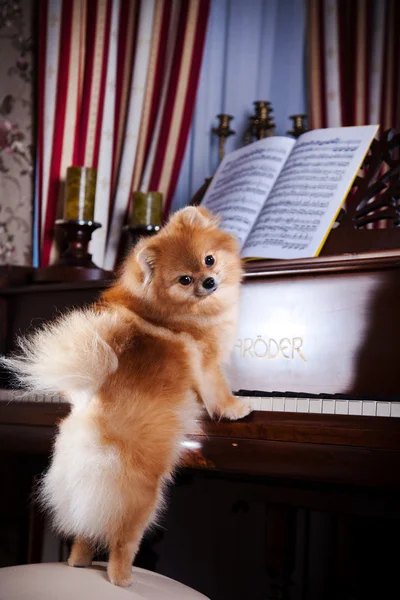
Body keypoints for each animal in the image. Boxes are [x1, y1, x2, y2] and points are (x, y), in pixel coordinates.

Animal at [4, 207, 252, 584]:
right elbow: (219, 391)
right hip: (143, 495)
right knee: (122, 539)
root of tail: (91, 404)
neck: (178, 310)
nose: (208, 281)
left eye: (209, 260)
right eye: (185, 279)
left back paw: (78, 563)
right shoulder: (208, 365)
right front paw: (237, 407)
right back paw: (122, 578)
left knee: (84, 530)